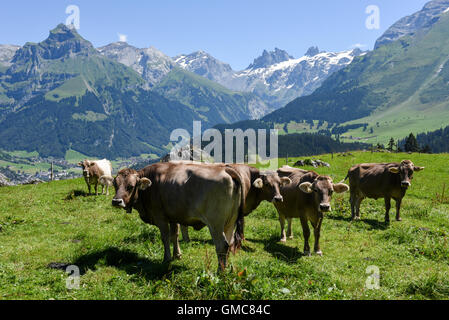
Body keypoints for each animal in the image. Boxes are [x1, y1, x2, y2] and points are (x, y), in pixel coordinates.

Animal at [111, 161, 245, 272]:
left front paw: (167, 259)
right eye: (115, 185)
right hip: (230, 223)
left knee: (222, 245)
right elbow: (174, 235)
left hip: (215, 223)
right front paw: (177, 255)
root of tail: (225, 169)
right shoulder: (173, 216)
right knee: (229, 244)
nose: (116, 201)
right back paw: (226, 268)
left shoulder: (160, 217)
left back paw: (220, 272)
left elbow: (165, 237)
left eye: (131, 186)